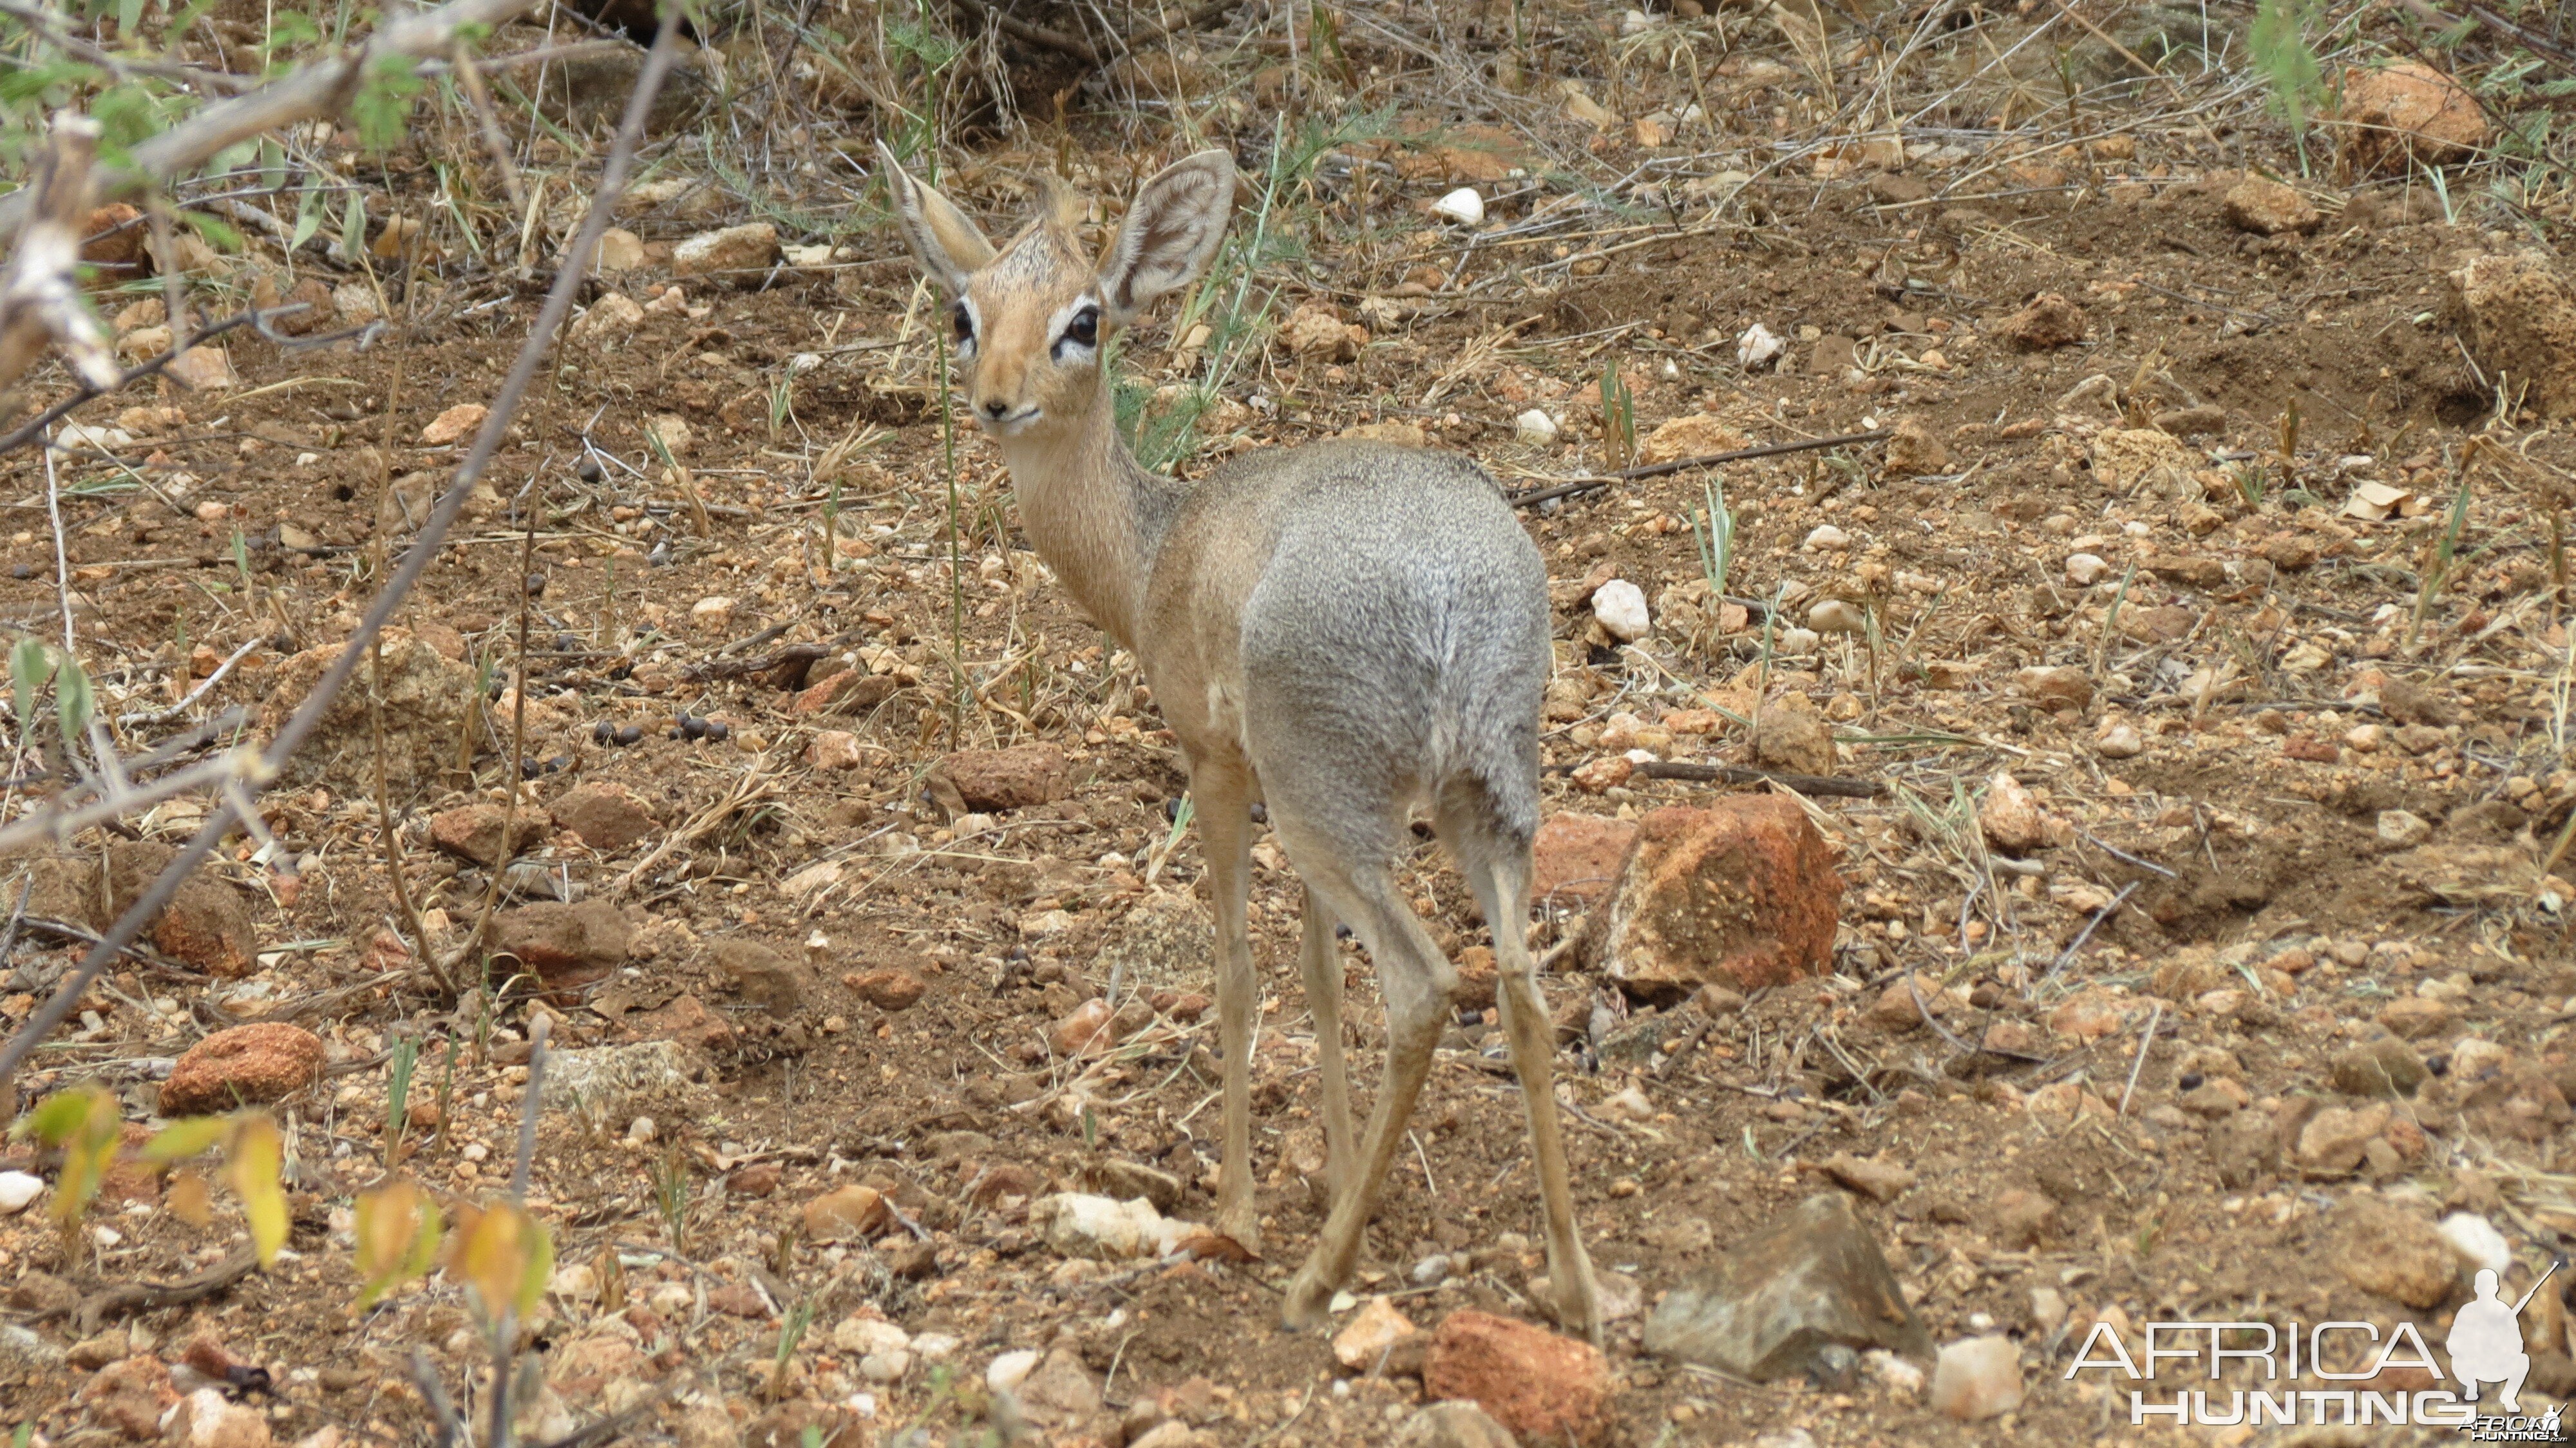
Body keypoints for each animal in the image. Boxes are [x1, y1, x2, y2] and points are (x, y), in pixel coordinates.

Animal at [886, 144, 1607, 1329]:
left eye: (1085, 317)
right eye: (964, 310)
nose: (999, 402)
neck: (1153, 552)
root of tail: (1450, 598)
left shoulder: (1219, 767)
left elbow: (1235, 969)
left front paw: (1242, 1208)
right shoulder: (1282, 793)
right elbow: (1318, 975)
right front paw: (1343, 1169)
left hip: (1343, 812)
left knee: (1425, 986)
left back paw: (1318, 1278)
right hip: (1479, 800)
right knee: (1519, 987)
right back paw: (1573, 1285)